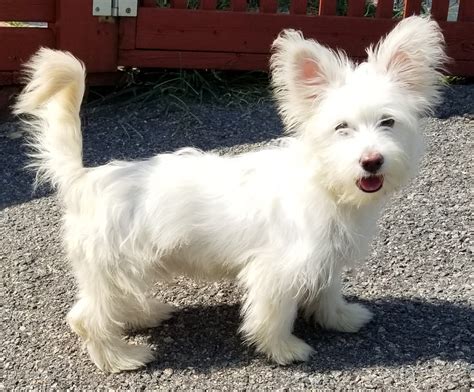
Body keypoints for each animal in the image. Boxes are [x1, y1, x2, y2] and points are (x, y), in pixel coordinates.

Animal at [13, 16, 444, 374]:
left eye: (388, 122)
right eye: (342, 127)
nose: (372, 161)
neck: (323, 181)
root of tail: (85, 179)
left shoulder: (326, 257)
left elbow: (328, 291)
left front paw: (340, 317)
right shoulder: (277, 269)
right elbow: (272, 315)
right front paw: (284, 348)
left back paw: (145, 315)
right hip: (114, 264)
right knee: (86, 318)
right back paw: (121, 357)